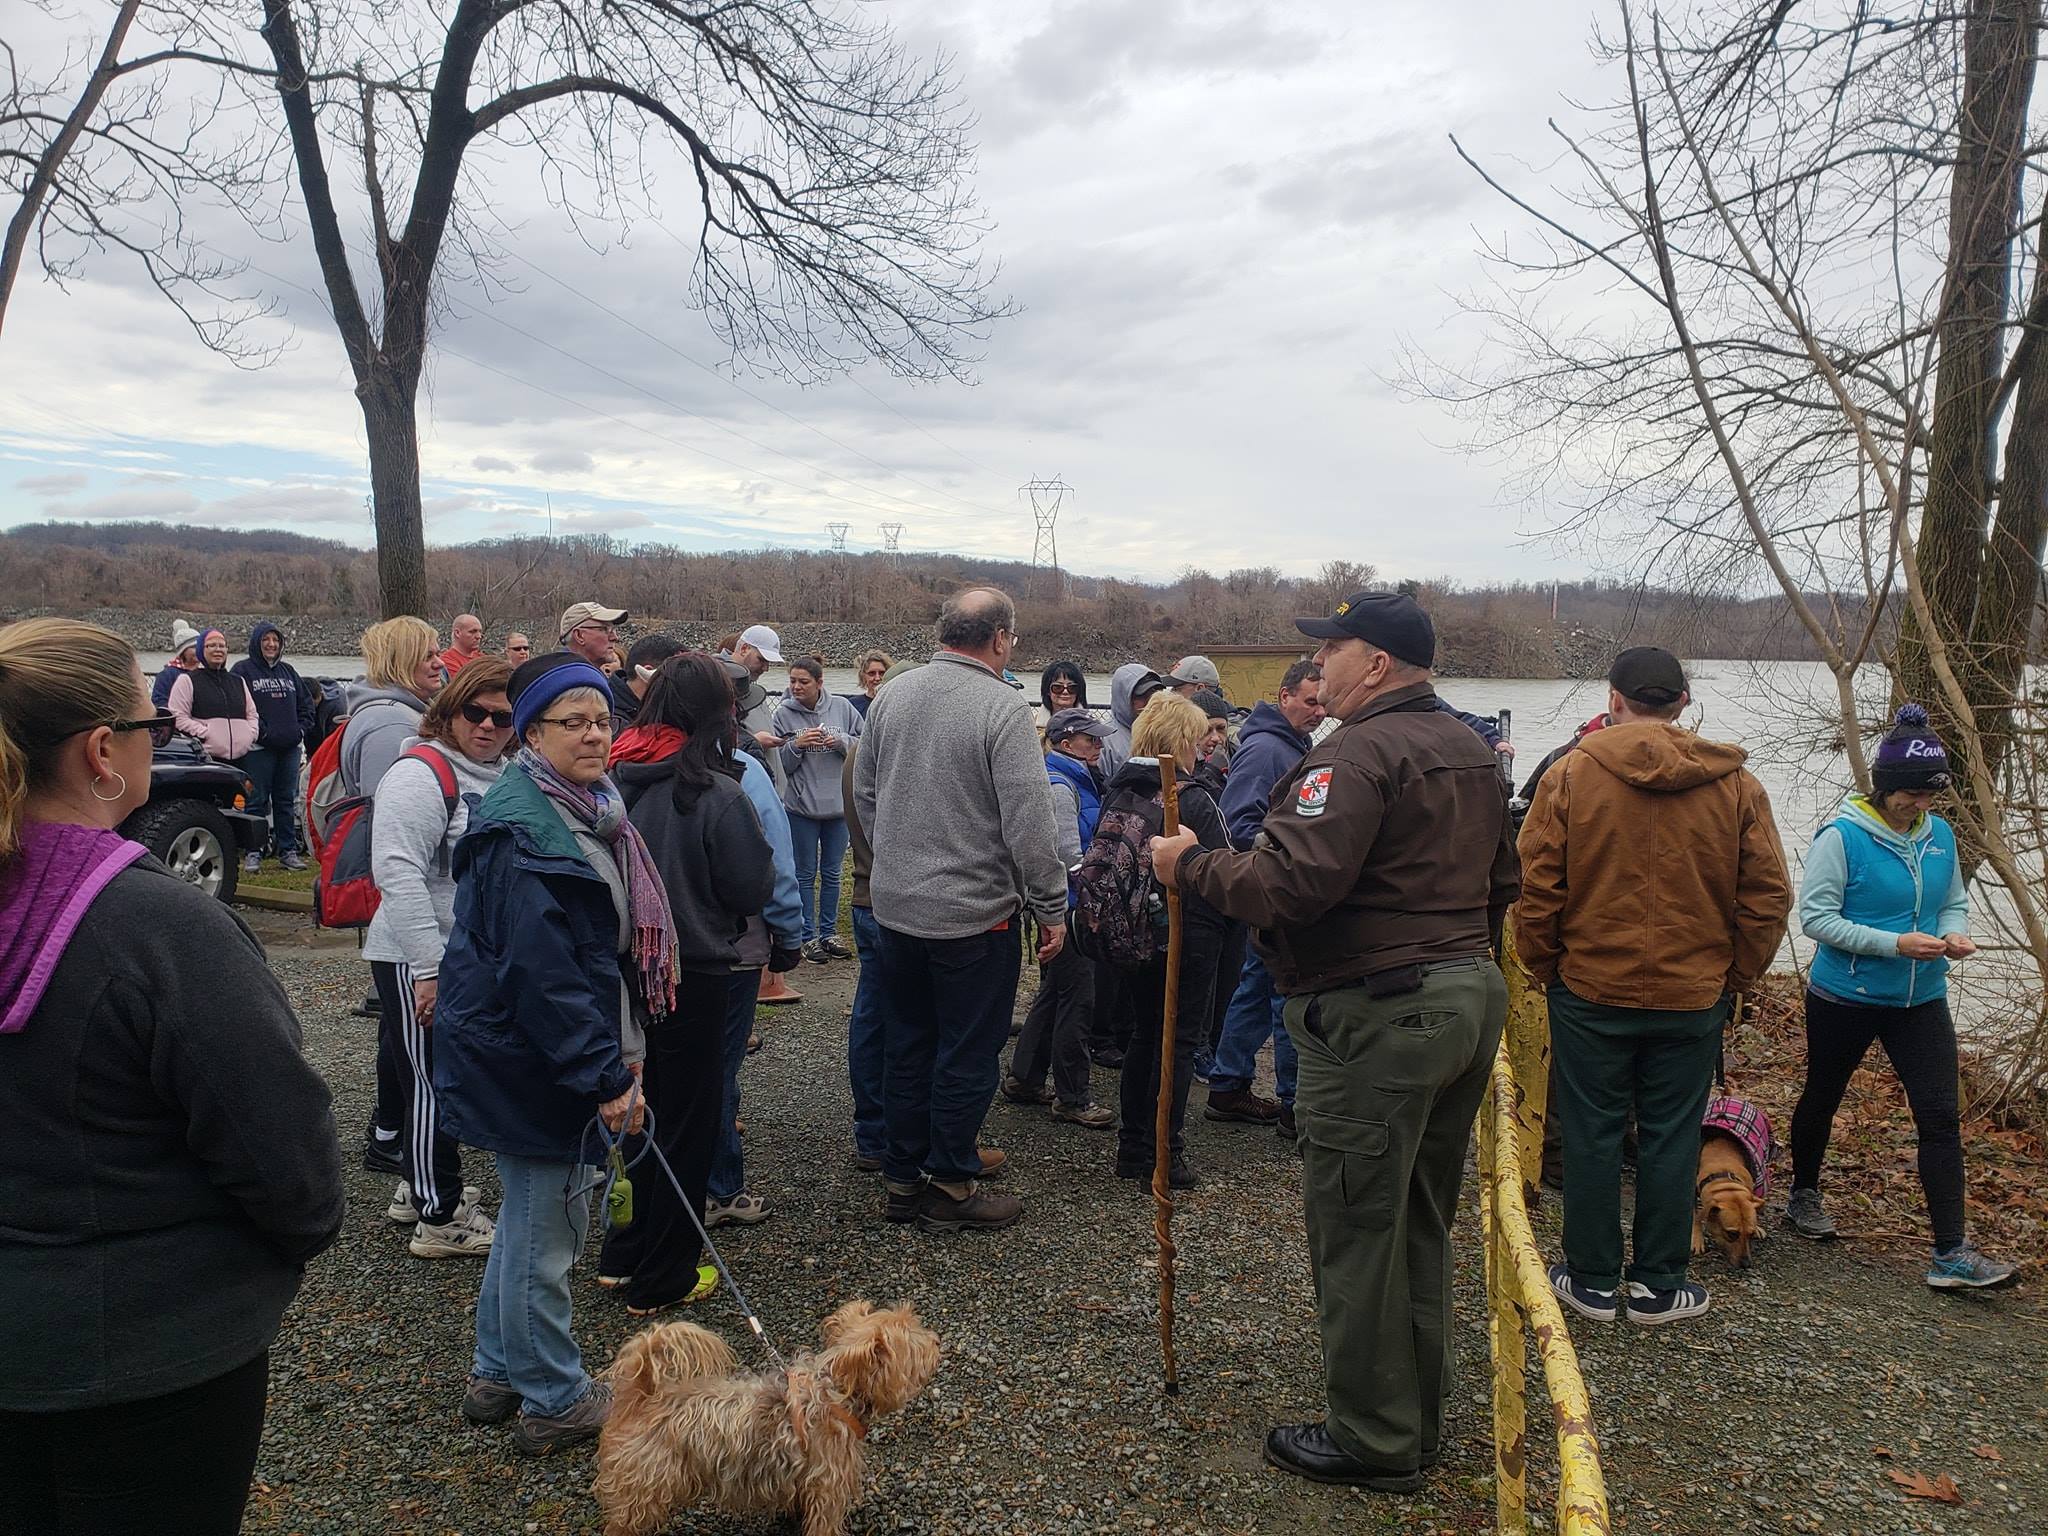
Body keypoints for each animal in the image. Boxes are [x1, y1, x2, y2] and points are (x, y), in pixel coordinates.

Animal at [593, 1302, 942, 1536]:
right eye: (914, 1342)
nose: (937, 1340)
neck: (833, 1396)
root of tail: (642, 1398)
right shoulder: (828, 1489)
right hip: (643, 1488)